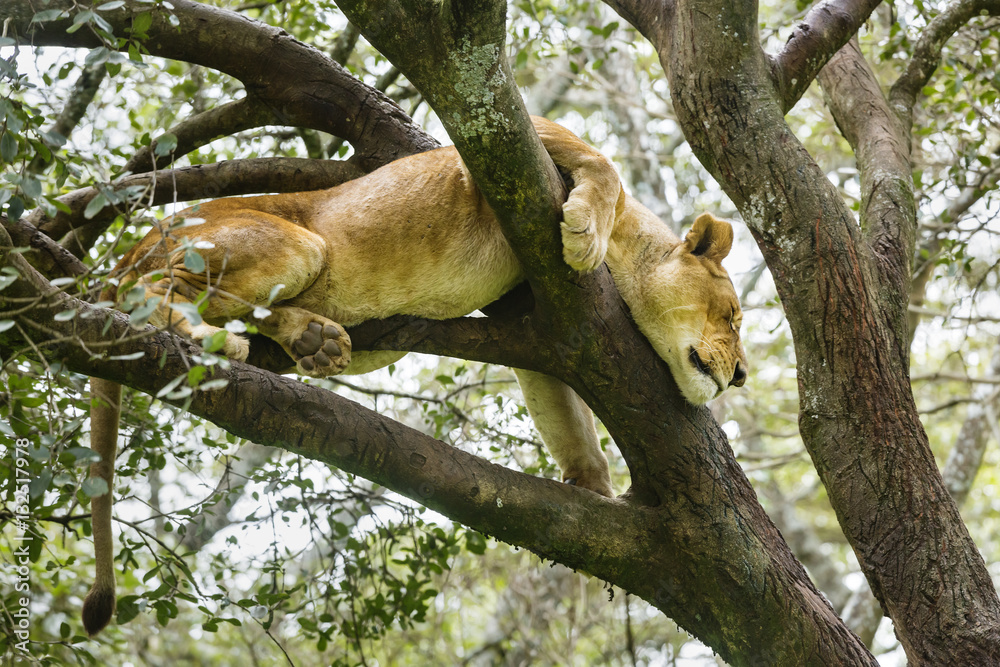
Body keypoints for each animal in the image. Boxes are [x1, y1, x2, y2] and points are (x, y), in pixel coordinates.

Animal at [83, 117, 747, 634]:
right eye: (733, 315)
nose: (740, 375)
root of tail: (128, 245)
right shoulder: (496, 150)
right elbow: (600, 160)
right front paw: (585, 234)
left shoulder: (542, 326)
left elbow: (567, 419)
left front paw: (593, 491)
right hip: (290, 243)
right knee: (149, 290)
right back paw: (206, 338)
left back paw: (314, 341)